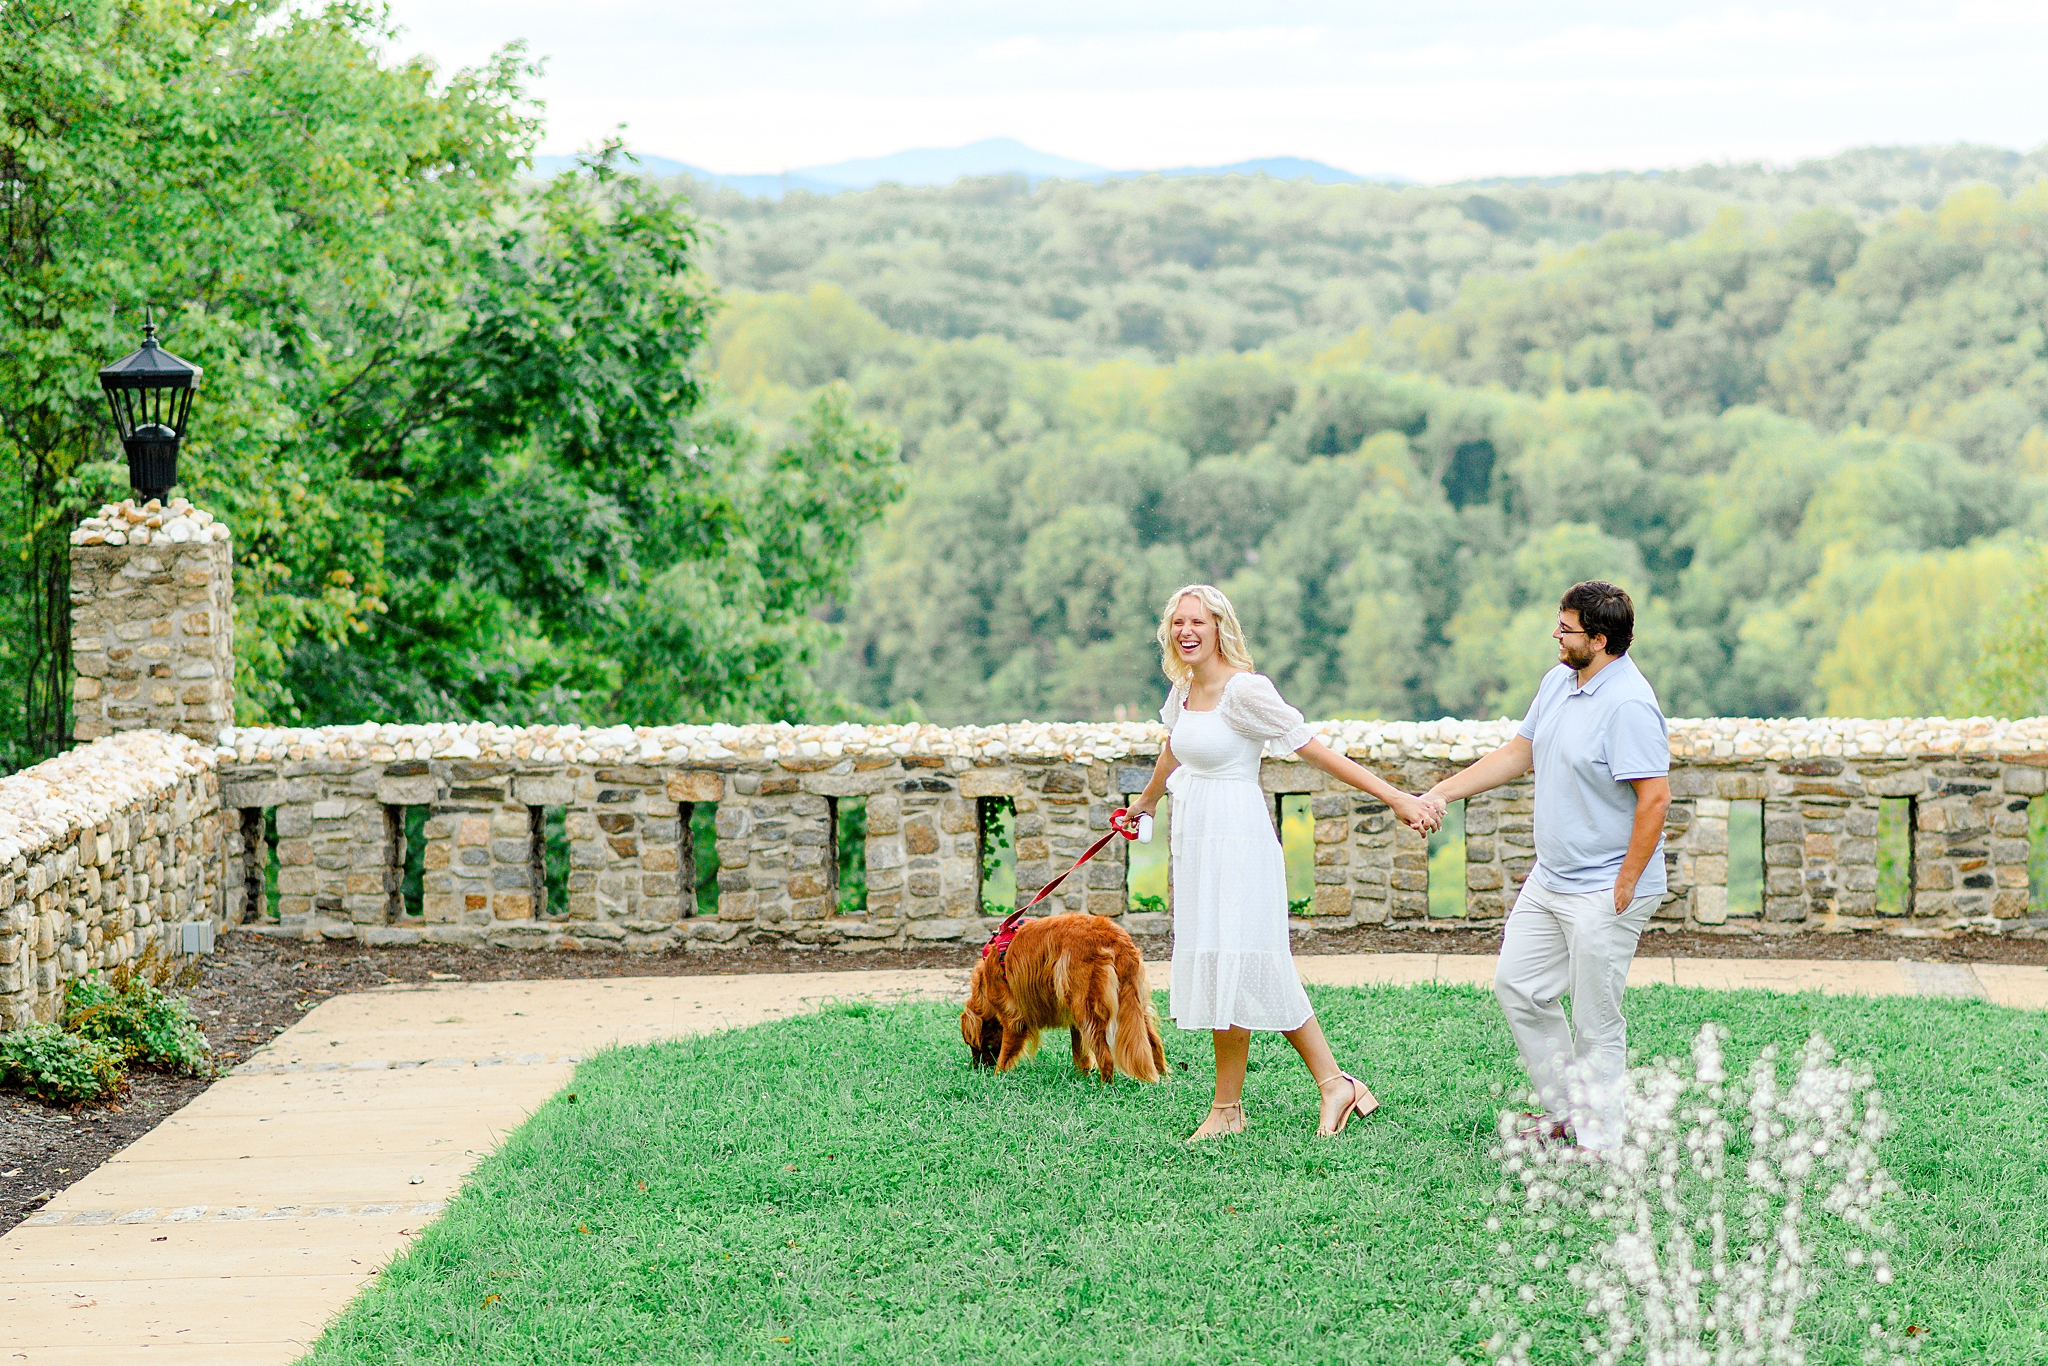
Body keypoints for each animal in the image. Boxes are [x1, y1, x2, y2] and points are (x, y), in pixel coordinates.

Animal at [958, 913, 1171, 1081]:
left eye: (973, 1045)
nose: (977, 1068)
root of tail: (1114, 937)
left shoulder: (1014, 1020)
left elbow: (1004, 1056)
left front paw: (996, 1078)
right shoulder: (1074, 1021)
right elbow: (1079, 1052)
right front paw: (1082, 1076)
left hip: (1087, 1008)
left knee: (1106, 1057)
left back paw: (1105, 1088)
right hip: (1131, 1003)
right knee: (1154, 1043)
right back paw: (1164, 1079)